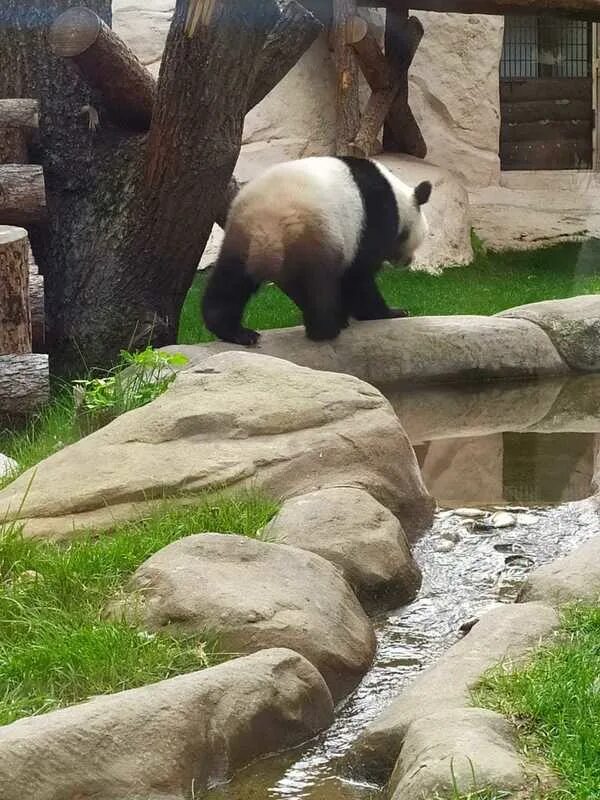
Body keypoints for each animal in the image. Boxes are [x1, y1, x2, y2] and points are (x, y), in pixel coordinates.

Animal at [202, 155, 432, 346]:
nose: (408, 261)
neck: (398, 197)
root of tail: (268, 227)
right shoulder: (374, 218)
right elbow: (359, 275)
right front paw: (391, 312)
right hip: (316, 236)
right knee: (318, 286)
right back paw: (326, 329)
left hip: (240, 236)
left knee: (230, 282)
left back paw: (235, 332)